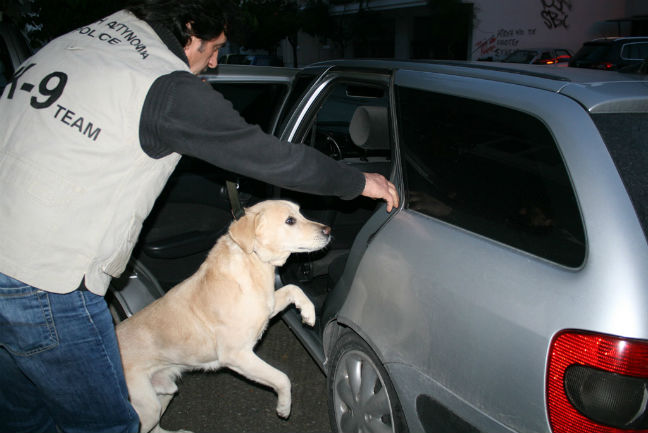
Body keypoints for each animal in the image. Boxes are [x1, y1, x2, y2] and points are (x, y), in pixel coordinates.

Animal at [115, 199, 330, 432]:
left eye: (300, 213)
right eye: (290, 221)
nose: (328, 230)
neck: (252, 261)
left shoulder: (267, 306)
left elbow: (293, 288)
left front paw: (308, 312)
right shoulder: (237, 355)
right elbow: (283, 378)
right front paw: (284, 407)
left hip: (164, 393)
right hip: (147, 407)